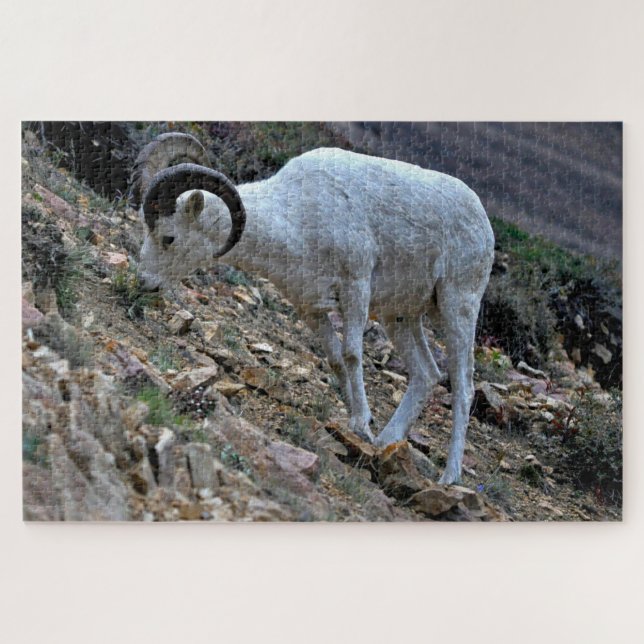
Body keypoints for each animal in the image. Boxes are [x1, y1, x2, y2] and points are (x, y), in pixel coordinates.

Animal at [132, 132, 495, 485]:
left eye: (168, 237)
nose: (144, 283)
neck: (297, 216)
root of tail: (484, 222)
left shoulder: (355, 288)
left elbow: (352, 355)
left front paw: (361, 423)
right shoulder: (311, 310)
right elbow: (335, 360)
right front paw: (359, 426)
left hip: (457, 306)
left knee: (463, 388)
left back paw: (449, 477)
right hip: (400, 316)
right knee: (426, 373)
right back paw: (384, 442)